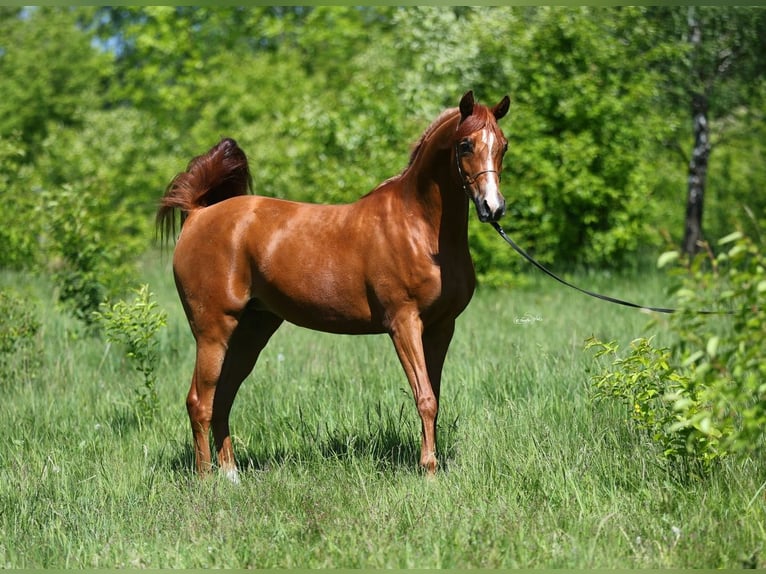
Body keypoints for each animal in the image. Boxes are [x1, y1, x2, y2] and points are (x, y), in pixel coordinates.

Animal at [158, 91, 510, 482]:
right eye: (465, 145)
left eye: (503, 146)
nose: (493, 208)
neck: (419, 227)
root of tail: (198, 214)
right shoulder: (404, 323)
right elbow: (425, 398)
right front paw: (429, 471)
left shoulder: (441, 327)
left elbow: (433, 395)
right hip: (212, 331)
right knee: (199, 401)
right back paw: (207, 480)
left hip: (251, 331)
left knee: (222, 398)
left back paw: (232, 475)